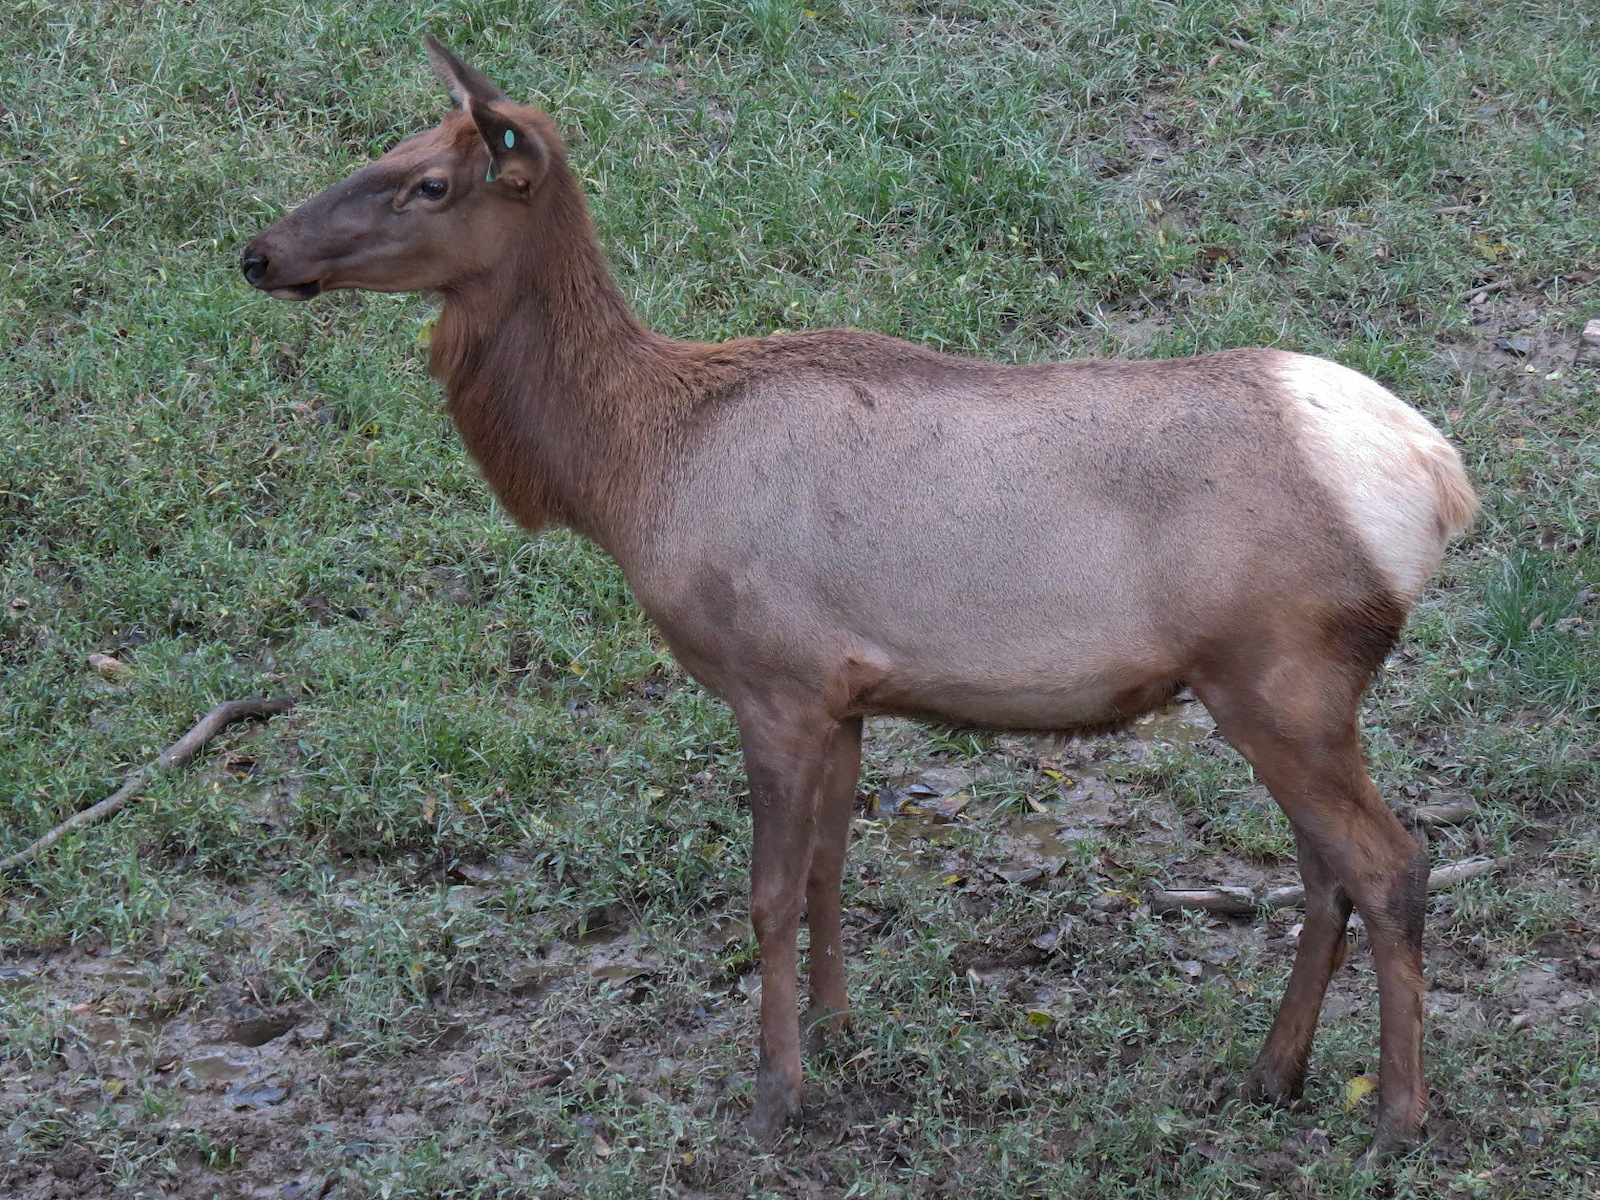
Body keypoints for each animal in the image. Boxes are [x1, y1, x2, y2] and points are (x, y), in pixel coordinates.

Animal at [240, 37, 1477, 1162]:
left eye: (428, 183)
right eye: (385, 149)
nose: (258, 252)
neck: (633, 474)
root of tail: (1437, 482)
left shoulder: (772, 678)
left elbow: (766, 894)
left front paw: (774, 1096)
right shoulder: (844, 692)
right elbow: (834, 868)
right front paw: (840, 1038)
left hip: (1280, 672)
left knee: (1389, 866)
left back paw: (1397, 1119)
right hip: (1283, 694)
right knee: (1324, 873)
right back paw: (1272, 1074)